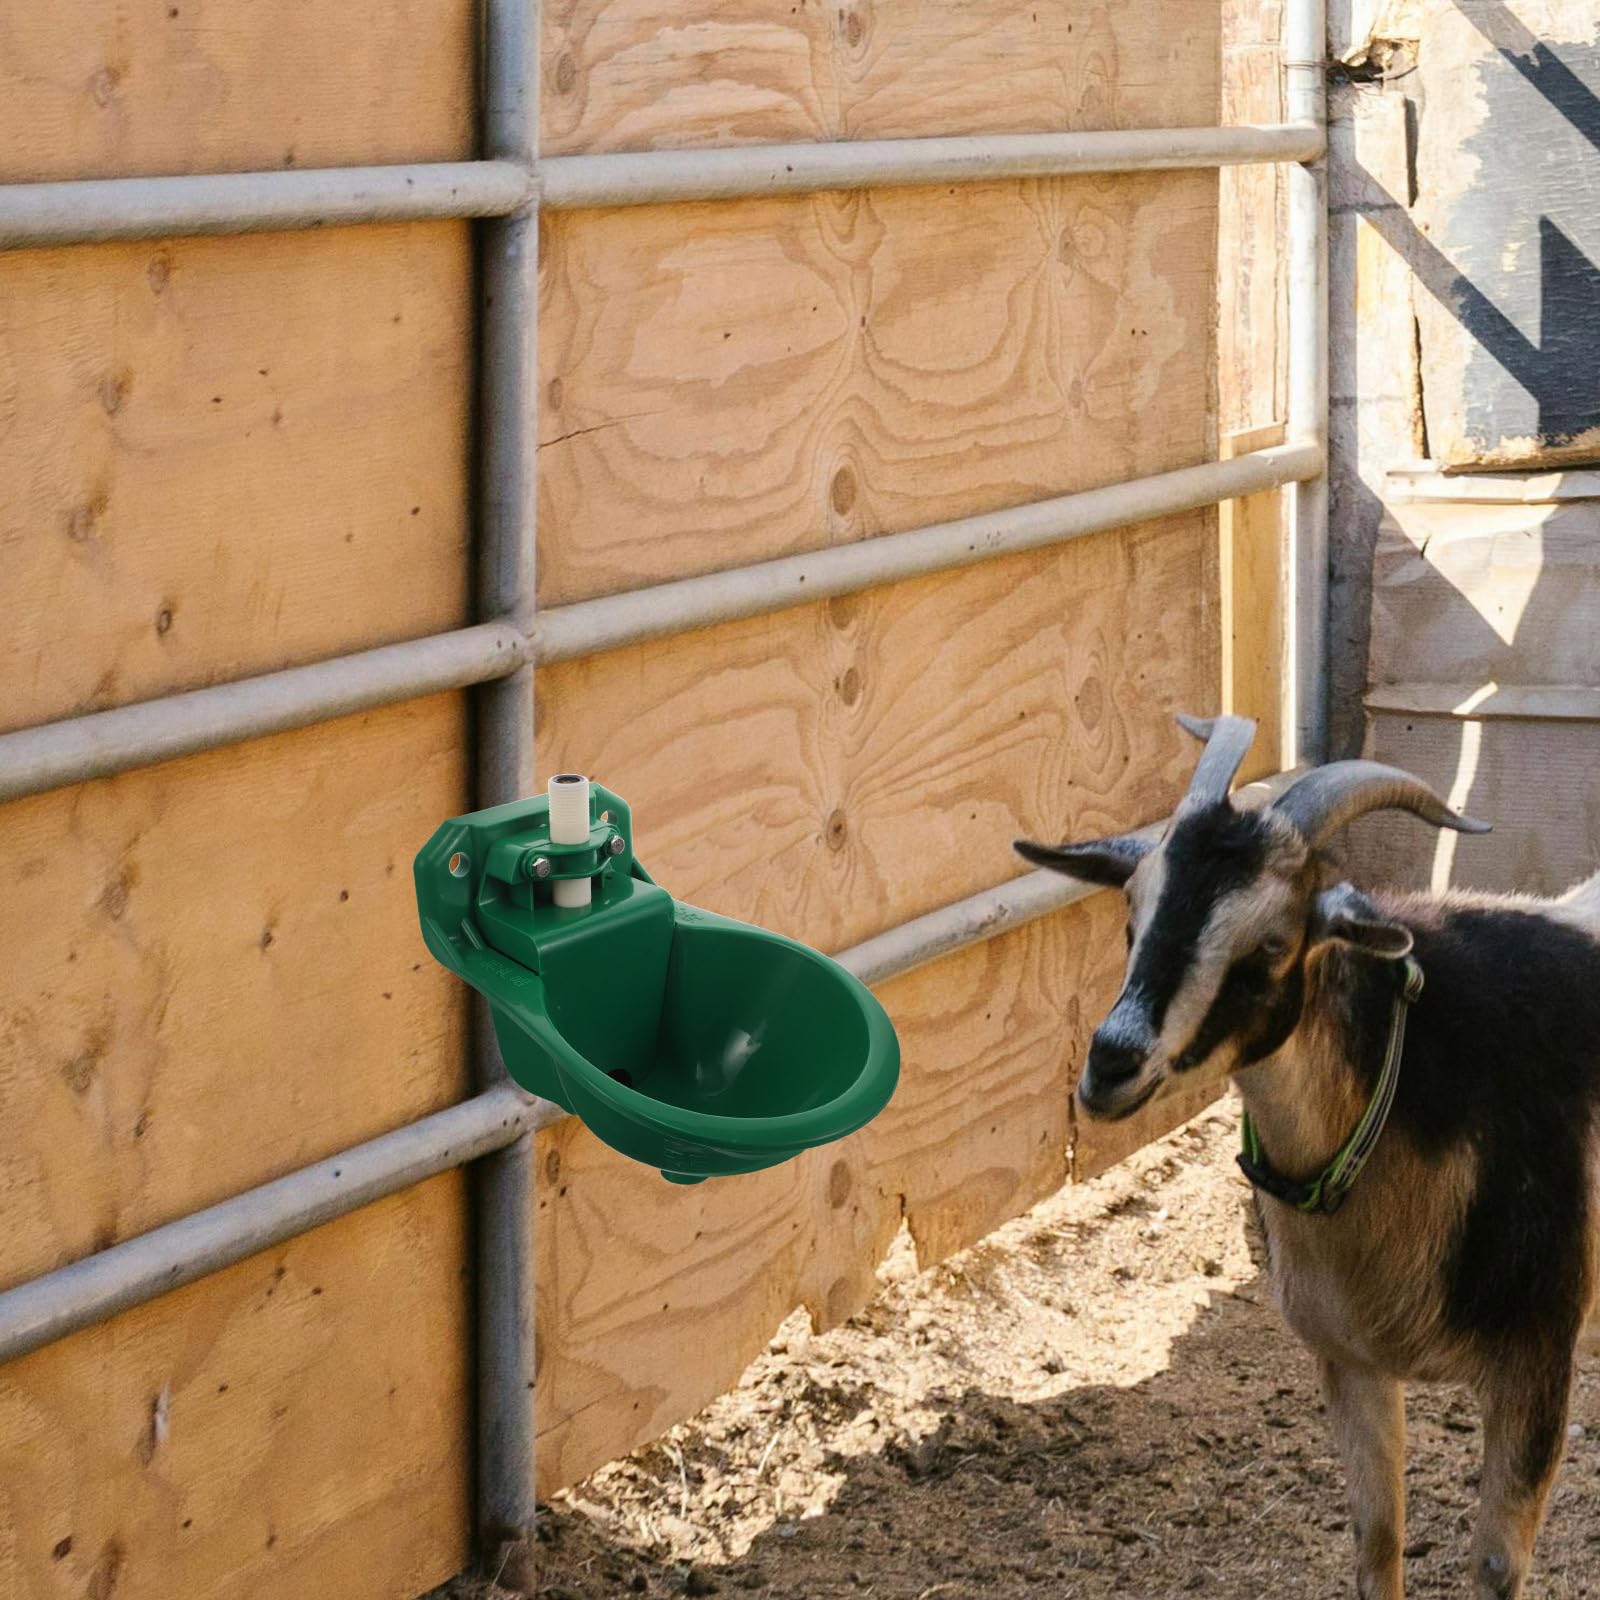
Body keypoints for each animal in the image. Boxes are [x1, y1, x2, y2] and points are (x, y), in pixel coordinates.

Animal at [1015, 713, 1600, 1600]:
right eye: (1131, 915)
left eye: (1271, 945)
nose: (1112, 1064)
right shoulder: (1351, 1360)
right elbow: (1378, 1539)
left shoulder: (1537, 1356)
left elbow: (1496, 1567)